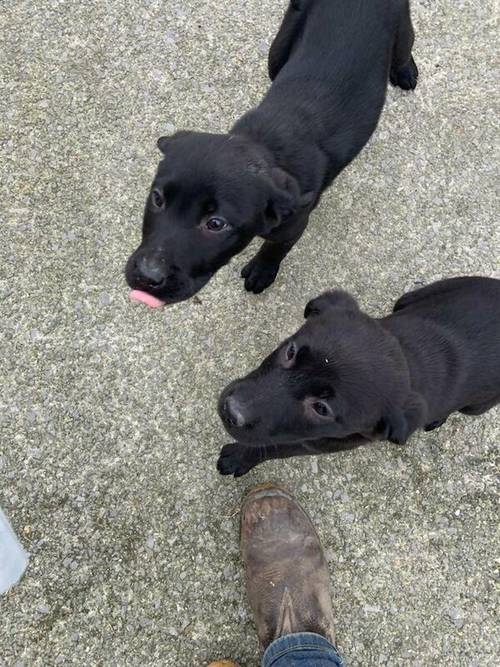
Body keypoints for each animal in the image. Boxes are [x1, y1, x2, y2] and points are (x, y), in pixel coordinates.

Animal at [124, 0, 418, 308]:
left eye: (216, 224)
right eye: (157, 198)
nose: (147, 276)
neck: (264, 144)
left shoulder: (295, 223)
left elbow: (276, 247)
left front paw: (262, 270)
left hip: (400, 30)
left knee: (404, 48)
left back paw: (405, 71)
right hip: (279, 48)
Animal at [218, 280, 500, 478]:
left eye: (321, 409)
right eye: (291, 352)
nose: (230, 411)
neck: (407, 356)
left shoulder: (317, 443)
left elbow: (274, 447)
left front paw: (239, 457)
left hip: (475, 406)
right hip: (413, 297)